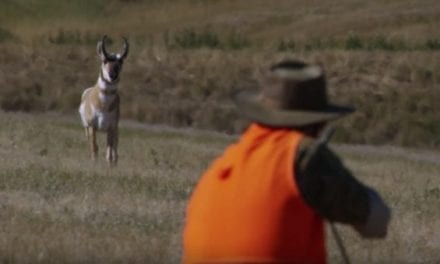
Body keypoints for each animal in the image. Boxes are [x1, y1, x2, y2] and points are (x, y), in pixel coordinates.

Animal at [79, 35, 129, 166]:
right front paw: (94, 164)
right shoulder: (92, 127)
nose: (113, 75)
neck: (102, 105)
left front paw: (110, 167)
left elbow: (109, 152)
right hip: (87, 129)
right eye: (104, 60)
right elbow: (94, 148)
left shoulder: (111, 128)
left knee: (115, 149)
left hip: (115, 130)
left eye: (120, 61)